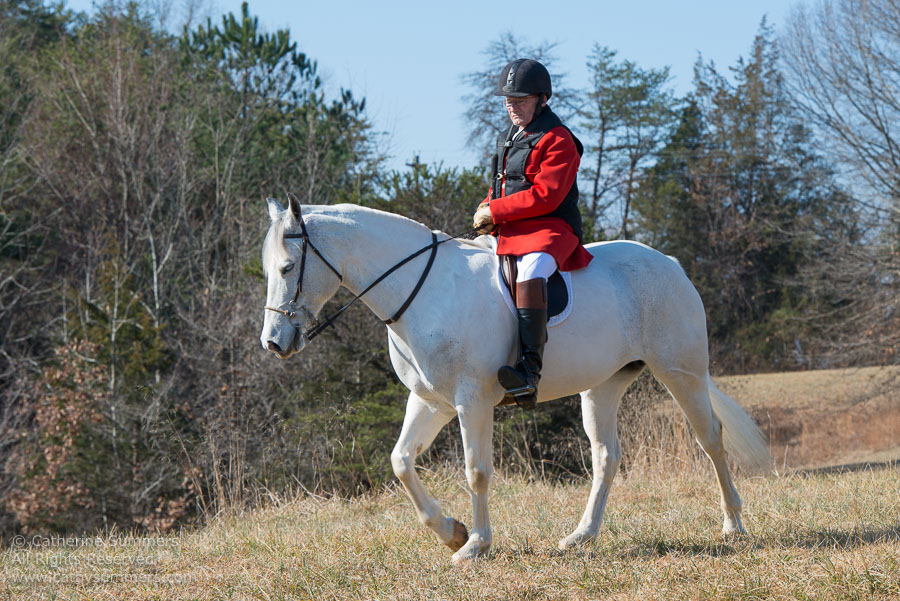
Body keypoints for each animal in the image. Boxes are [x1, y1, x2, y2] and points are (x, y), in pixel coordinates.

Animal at [256, 197, 768, 564]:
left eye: (287, 268)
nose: (274, 343)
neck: (423, 291)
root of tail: (669, 262)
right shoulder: (429, 401)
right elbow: (401, 461)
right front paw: (451, 532)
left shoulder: (472, 401)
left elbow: (476, 471)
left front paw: (475, 545)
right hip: (603, 386)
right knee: (606, 456)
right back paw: (581, 536)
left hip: (681, 373)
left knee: (710, 439)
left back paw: (733, 526)